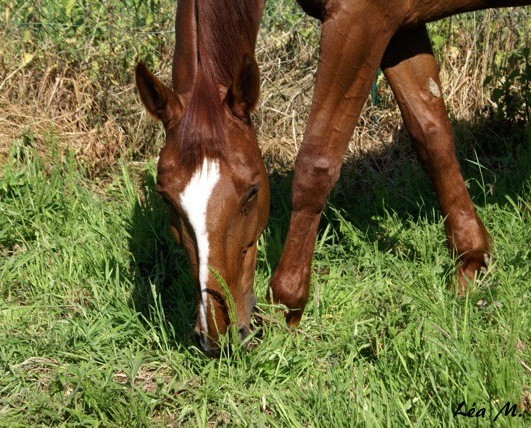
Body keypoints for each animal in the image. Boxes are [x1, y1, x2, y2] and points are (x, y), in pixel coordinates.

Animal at [135, 0, 528, 354]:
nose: (218, 333)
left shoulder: (359, 20)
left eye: (252, 191)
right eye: (166, 198)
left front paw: (286, 305)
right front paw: (471, 261)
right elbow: (430, 132)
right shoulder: (401, 22)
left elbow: (317, 162)